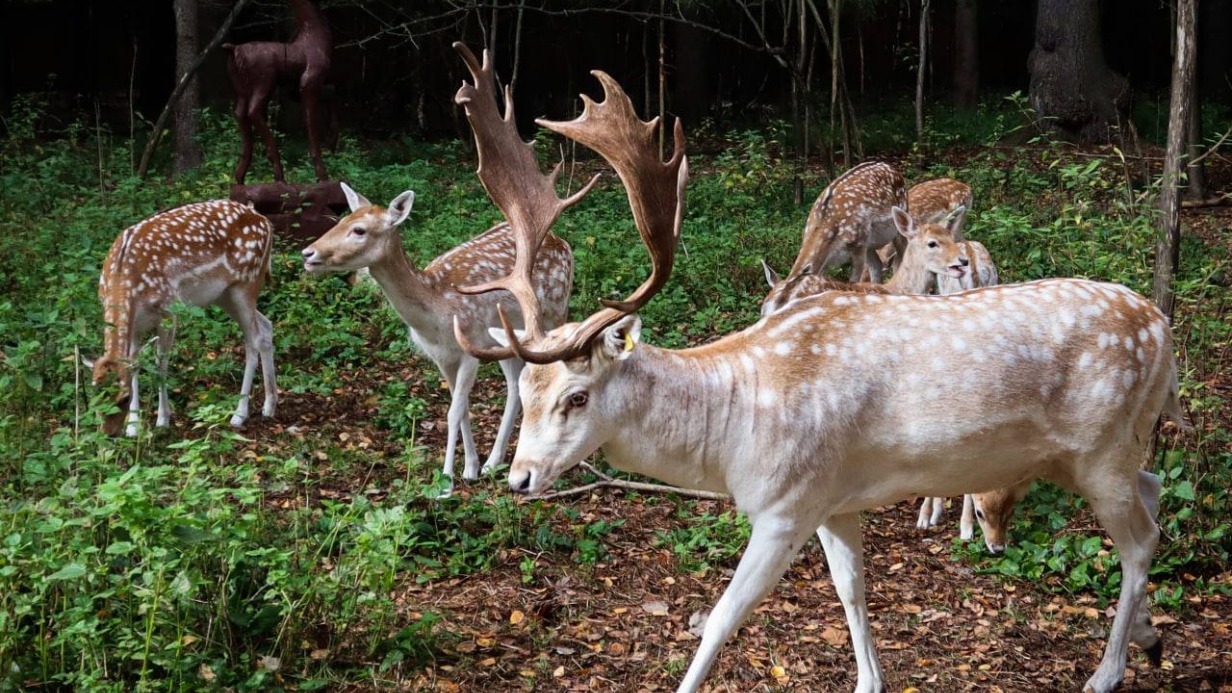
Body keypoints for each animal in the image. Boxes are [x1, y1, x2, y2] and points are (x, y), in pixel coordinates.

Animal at [89, 199, 278, 434]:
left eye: (123, 398)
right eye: (94, 395)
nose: (109, 433)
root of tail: (265, 221)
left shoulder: (169, 310)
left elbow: (161, 363)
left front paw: (163, 419)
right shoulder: (135, 325)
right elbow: (135, 364)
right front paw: (133, 427)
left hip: (247, 282)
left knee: (253, 340)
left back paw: (239, 414)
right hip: (224, 295)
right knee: (266, 326)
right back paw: (270, 405)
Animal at [450, 44, 1182, 690]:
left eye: (576, 396)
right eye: (528, 388)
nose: (519, 477)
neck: (732, 434)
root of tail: (1164, 332)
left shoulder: (786, 502)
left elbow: (723, 617)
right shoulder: (835, 499)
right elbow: (852, 590)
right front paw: (869, 680)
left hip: (1102, 448)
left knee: (1141, 540)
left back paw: (1108, 670)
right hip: (1096, 451)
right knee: (1153, 492)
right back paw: (1150, 637)